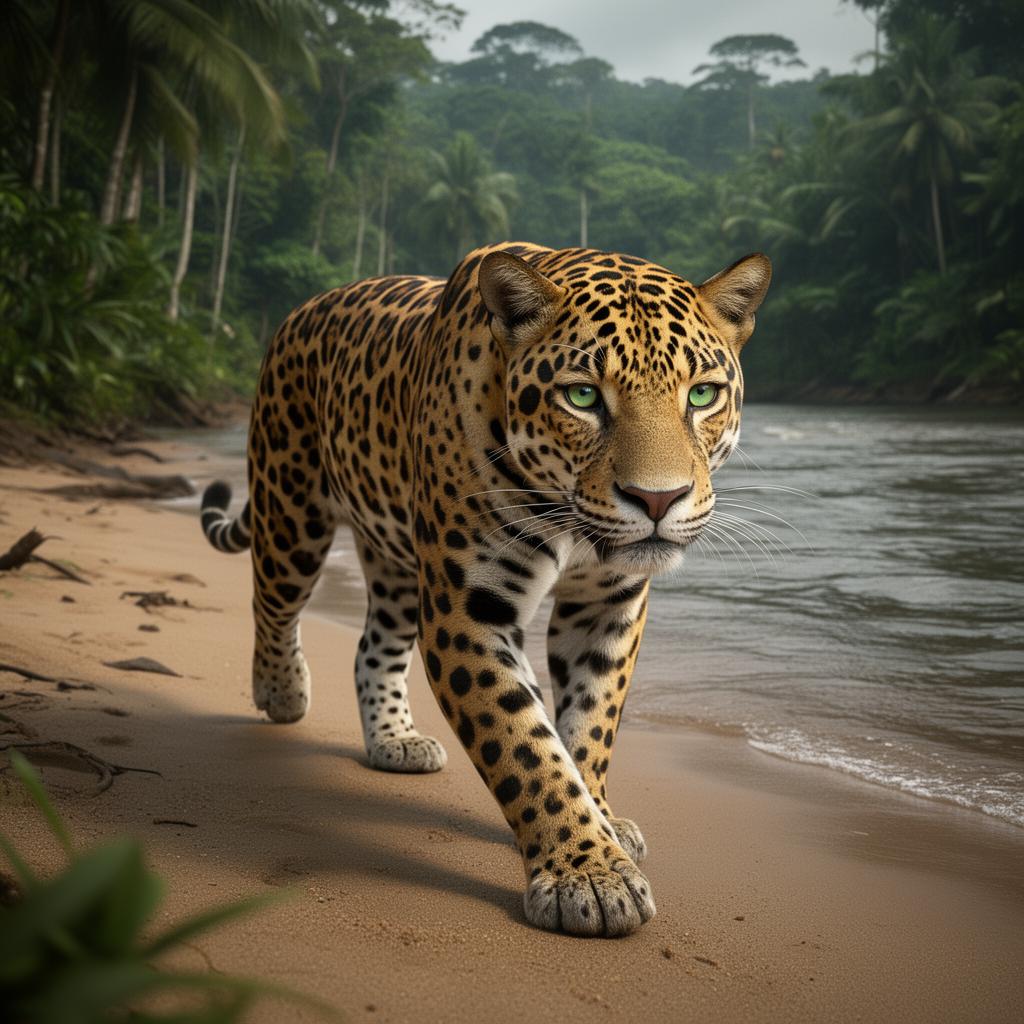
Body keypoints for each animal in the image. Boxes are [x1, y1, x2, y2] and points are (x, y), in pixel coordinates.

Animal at [199, 241, 771, 937]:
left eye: (703, 395)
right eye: (583, 396)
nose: (658, 500)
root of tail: (303, 309)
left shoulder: (607, 605)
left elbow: (590, 723)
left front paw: (601, 823)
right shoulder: (468, 610)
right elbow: (524, 743)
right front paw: (589, 875)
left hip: (396, 559)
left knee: (373, 645)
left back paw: (394, 741)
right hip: (292, 509)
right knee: (272, 604)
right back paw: (282, 693)